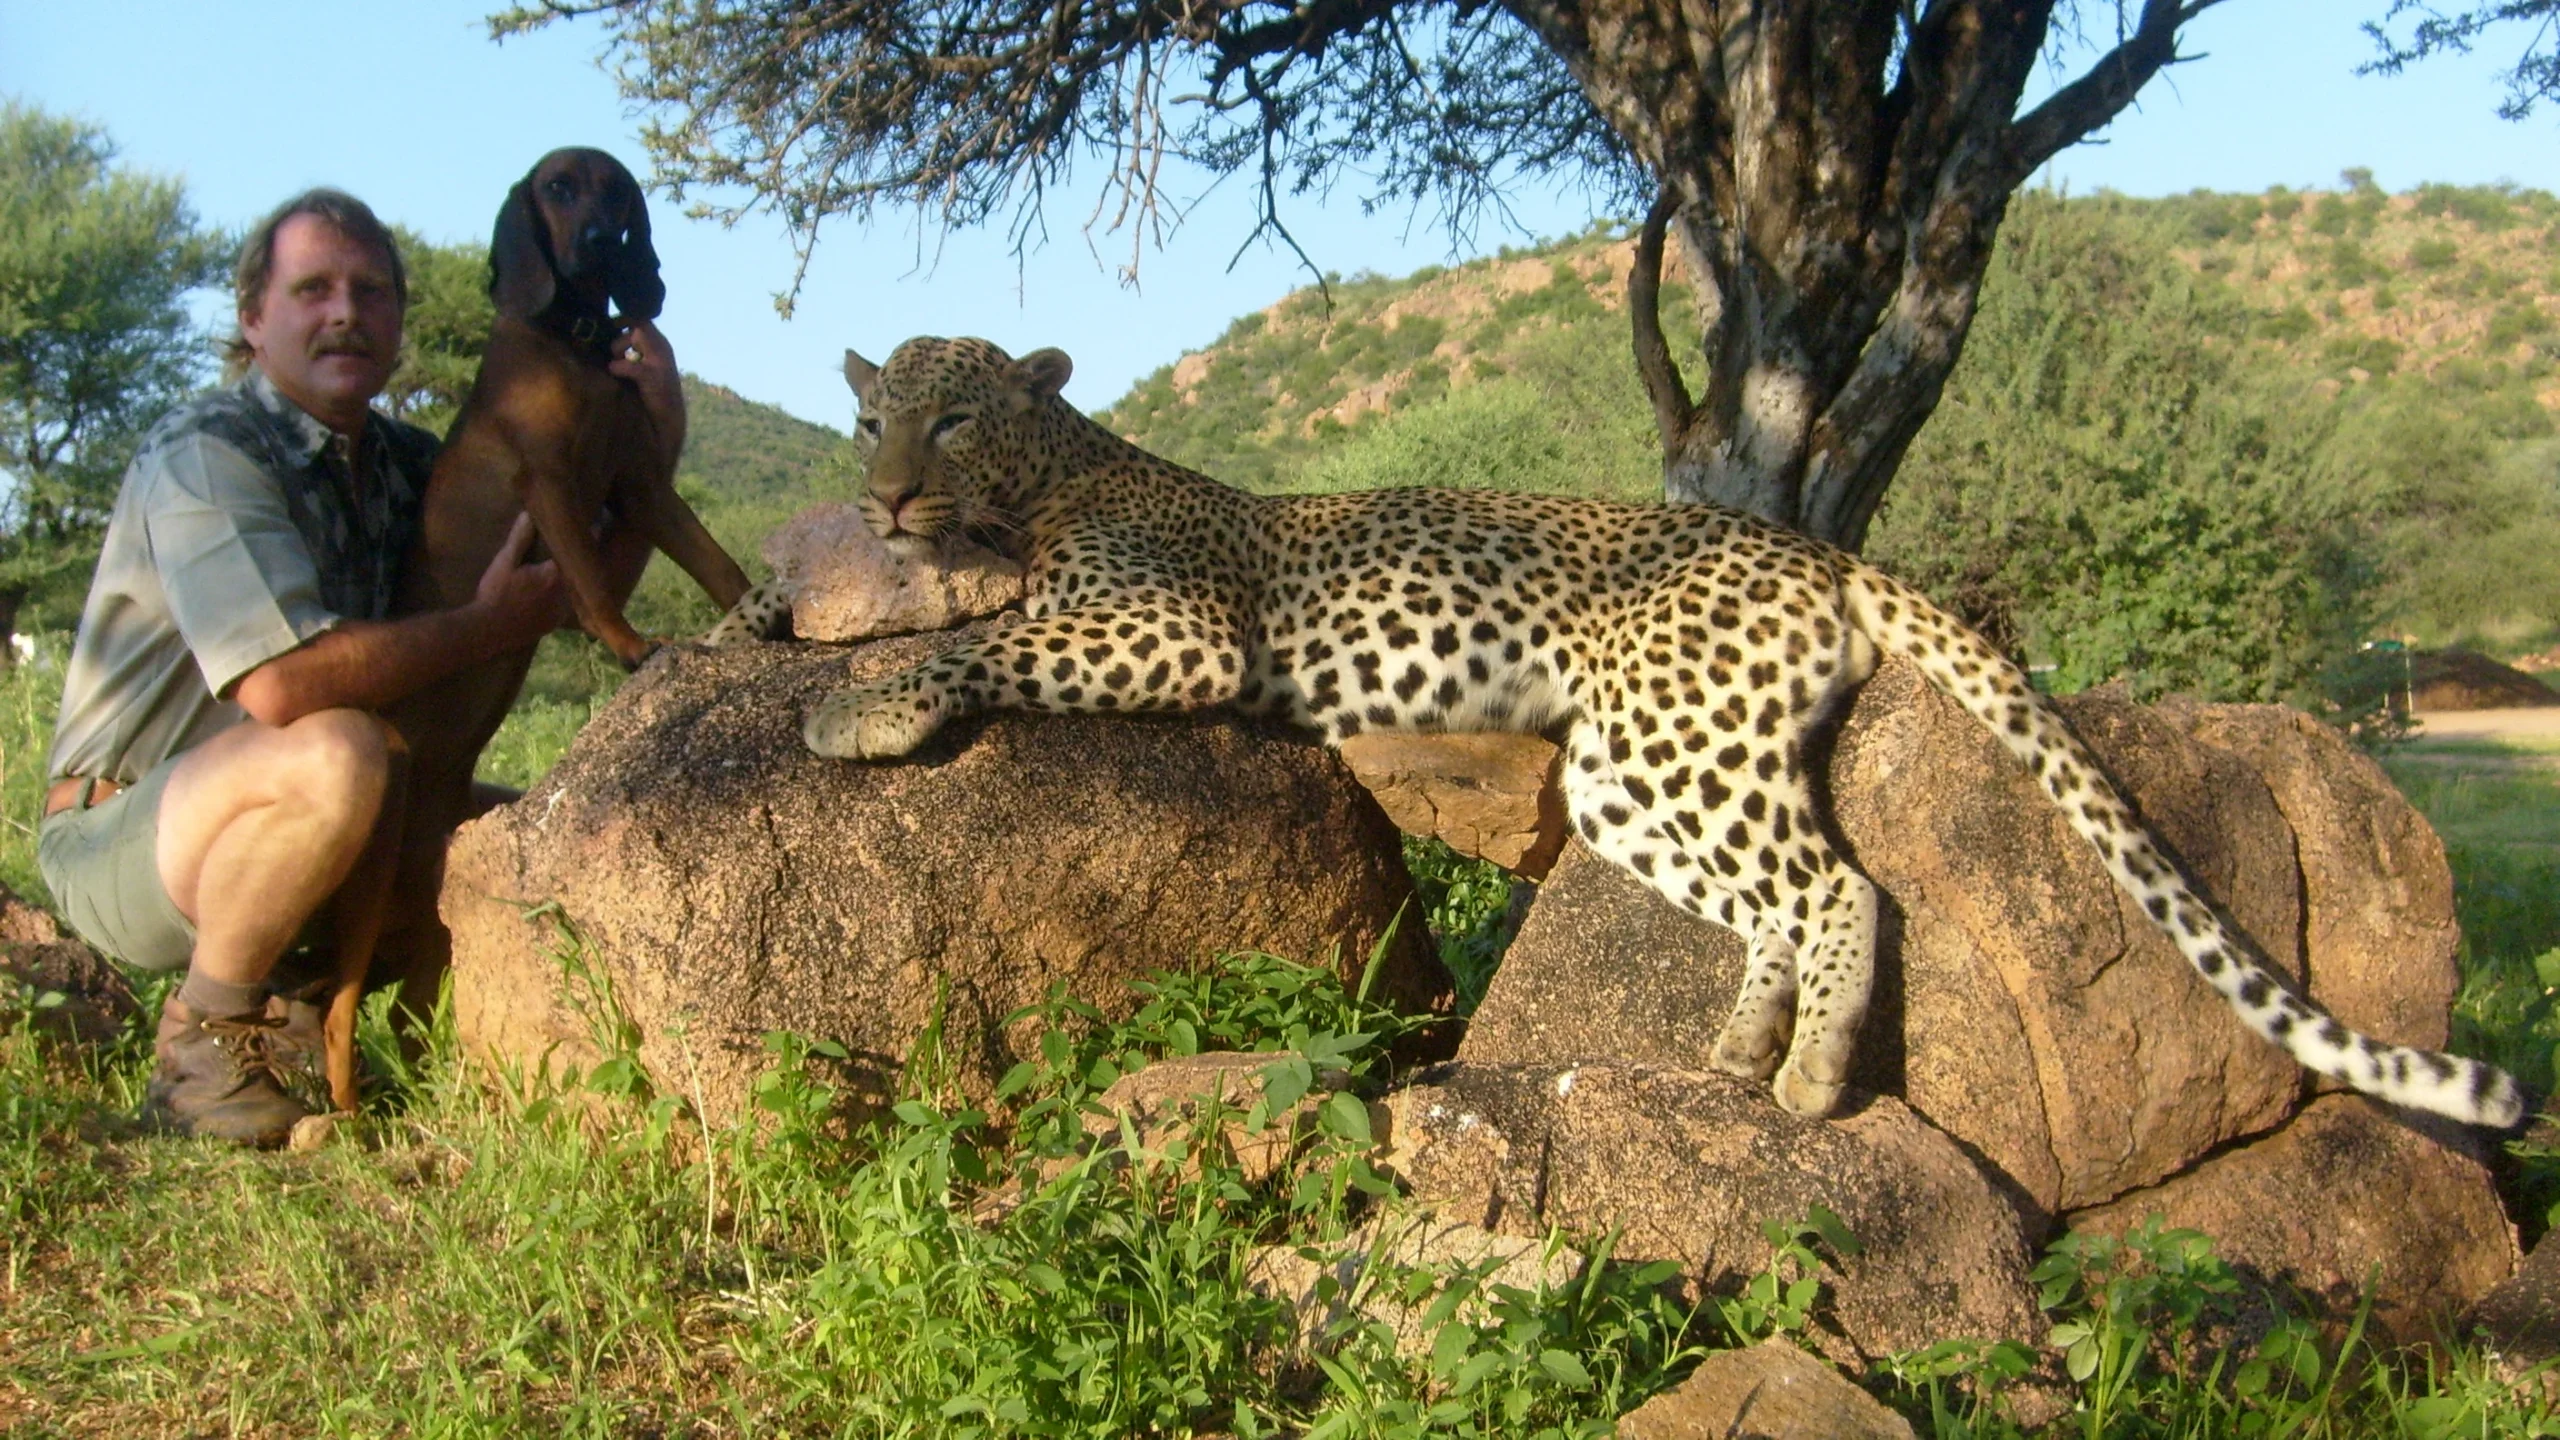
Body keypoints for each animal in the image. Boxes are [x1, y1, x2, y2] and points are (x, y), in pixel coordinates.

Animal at [793, 334, 2527, 1128]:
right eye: (871, 418)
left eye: (955, 413)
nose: (883, 491)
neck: (1048, 479)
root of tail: (1812, 547)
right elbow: (968, 619)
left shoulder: (1174, 625)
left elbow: (984, 638)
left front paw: (854, 706)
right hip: (1626, 776)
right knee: (1776, 901)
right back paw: (1743, 1044)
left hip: (1676, 737)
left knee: (1841, 886)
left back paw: (1810, 1075)